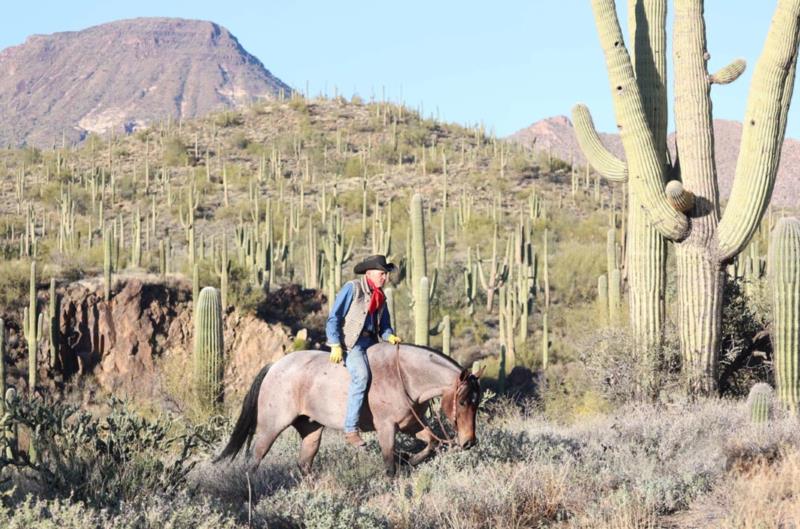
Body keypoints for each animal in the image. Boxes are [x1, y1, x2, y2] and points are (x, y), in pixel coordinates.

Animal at [215, 342, 483, 476]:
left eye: (477, 402)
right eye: (462, 402)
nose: (469, 442)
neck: (404, 376)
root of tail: (275, 366)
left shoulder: (411, 424)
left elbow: (431, 444)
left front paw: (409, 459)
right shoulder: (386, 428)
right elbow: (389, 465)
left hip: (311, 430)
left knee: (304, 464)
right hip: (272, 427)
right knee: (256, 458)